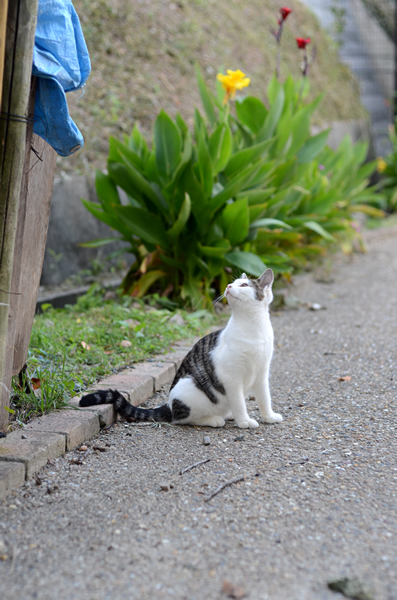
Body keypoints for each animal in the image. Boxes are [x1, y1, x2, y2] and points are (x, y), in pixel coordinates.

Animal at [79, 270, 282, 428]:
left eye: (244, 285)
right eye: (232, 283)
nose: (229, 287)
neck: (252, 329)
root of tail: (169, 404)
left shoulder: (262, 373)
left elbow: (265, 398)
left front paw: (269, 416)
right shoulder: (231, 378)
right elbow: (239, 403)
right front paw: (244, 421)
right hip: (190, 388)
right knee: (182, 418)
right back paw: (213, 419)